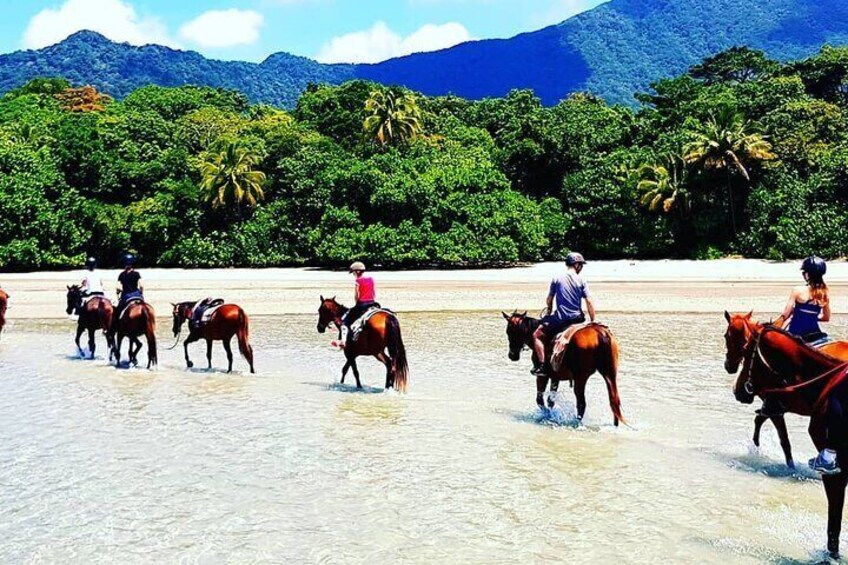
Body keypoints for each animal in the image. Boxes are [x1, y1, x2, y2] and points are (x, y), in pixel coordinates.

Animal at [500, 310, 628, 426]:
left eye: (509, 332)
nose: (512, 355)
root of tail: (600, 333)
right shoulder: (555, 377)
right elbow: (551, 400)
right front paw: (550, 414)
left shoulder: (542, 376)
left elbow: (539, 399)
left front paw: (546, 414)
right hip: (610, 375)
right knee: (614, 400)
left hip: (580, 378)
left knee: (581, 403)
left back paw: (576, 423)